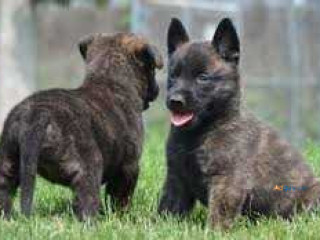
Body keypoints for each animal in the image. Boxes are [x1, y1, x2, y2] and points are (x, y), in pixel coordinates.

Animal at [0, 32, 164, 220]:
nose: (158, 90)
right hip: (88, 167)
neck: (109, 81)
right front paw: (121, 217)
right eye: (152, 68)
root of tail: (37, 115)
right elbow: (120, 198)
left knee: (5, 190)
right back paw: (91, 221)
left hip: (9, 161)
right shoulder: (129, 167)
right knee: (86, 200)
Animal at [158, 18, 320, 229]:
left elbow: (219, 213)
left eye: (203, 78)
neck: (202, 131)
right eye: (173, 76)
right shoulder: (176, 178)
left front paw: (213, 232)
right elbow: (168, 207)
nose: (175, 101)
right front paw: (160, 225)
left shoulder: (227, 180)